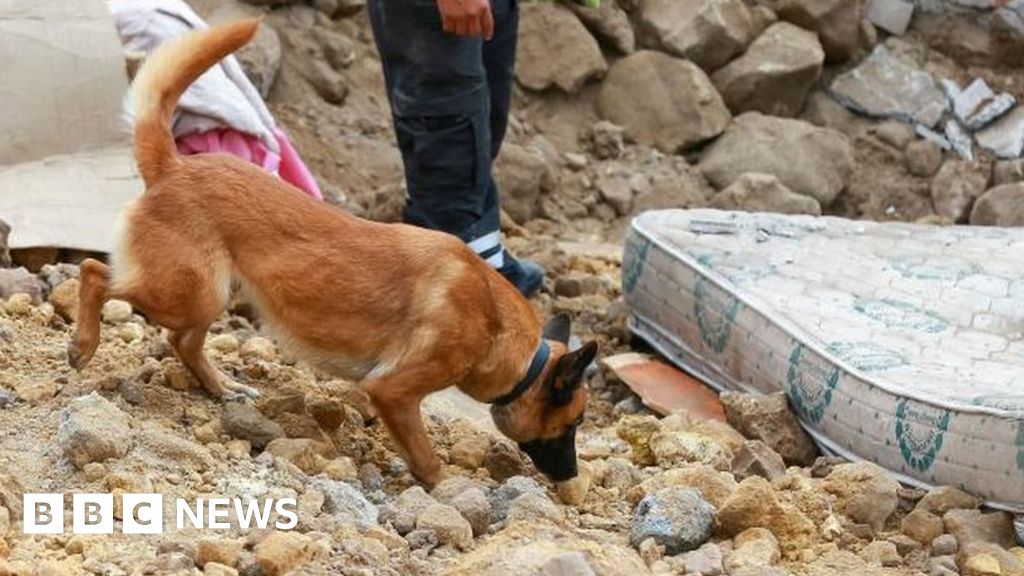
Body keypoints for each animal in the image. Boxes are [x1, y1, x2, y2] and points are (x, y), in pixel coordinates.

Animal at [68, 19, 598, 483]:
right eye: (573, 423)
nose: (571, 478)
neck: (497, 327)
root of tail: (174, 166)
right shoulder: (395, 391)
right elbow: (428, 459)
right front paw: (448, 489)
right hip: (188, 293)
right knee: (94, 272)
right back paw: (84, 344)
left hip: (212, 295)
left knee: (182, 341)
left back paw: (221, 387)